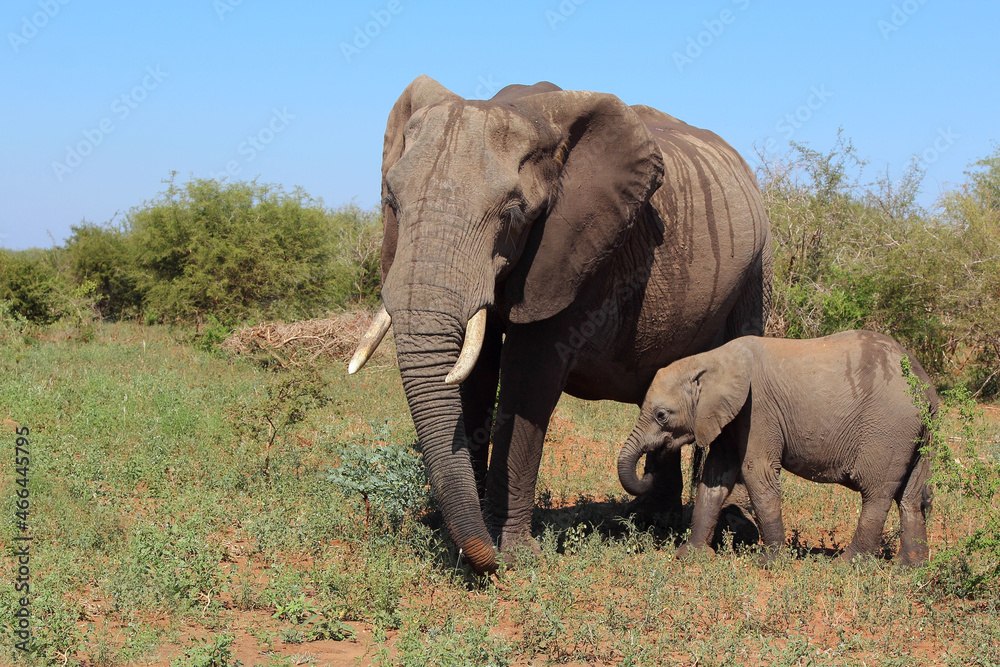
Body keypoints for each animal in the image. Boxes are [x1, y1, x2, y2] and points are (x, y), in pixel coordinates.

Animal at [348, 75, 773, 574]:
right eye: (391, 202)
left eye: (513, 214)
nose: (483, 559)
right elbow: (475, 376)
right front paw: (464, 546)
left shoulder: (571, 252)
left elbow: (528, 381)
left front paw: (512, 554)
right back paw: (651, 518)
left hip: (755, 269)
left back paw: (732, 527)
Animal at [617, 330, 937, 565]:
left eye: (661, 415)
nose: (648, 472)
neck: (712, 360)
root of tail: (925, 385)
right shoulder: (730, 417)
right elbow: (715, 479)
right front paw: (691, 556)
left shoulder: (757, 411)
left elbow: (758, 476)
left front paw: (770, 563)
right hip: (920, 434)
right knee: (910, 496)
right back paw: (910, 567)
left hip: (889, 430)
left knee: (876, 494)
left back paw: (847, 564)